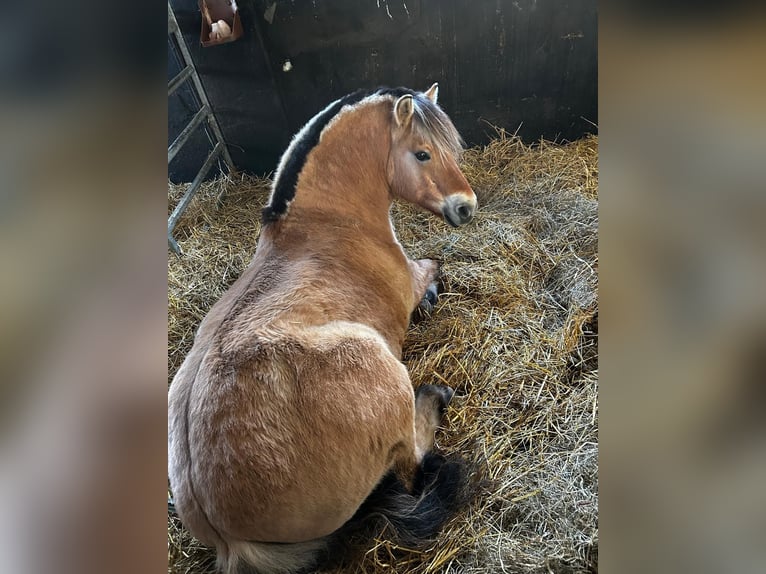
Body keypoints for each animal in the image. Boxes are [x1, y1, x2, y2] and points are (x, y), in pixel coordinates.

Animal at [171, 85, 476, 574]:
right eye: (422, 153)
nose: (466, 206)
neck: (325, 222)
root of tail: (229, 540)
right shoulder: (412, 278)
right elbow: (434, 265)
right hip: (382, 369)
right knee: (411, 463)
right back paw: (434, 397)